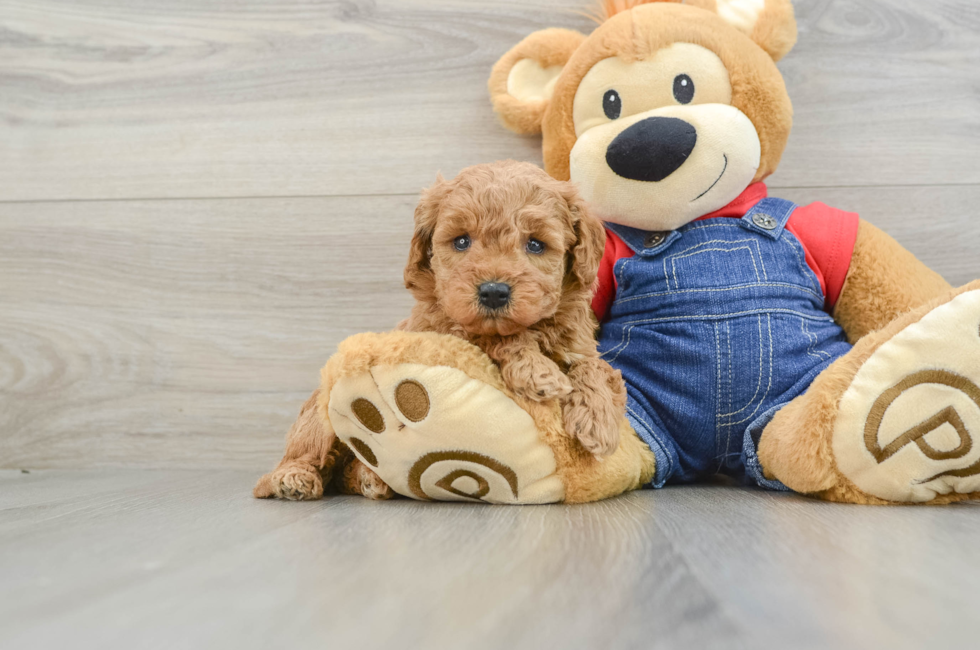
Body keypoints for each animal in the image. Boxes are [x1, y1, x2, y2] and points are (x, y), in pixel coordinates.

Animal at [256, 159, 624, 498]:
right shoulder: (444, 330)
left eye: (535, 244)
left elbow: (597, 368)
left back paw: (370, 479)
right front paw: (538, 373)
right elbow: (491, 338)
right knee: (303, 455)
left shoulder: (580, 343)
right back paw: (294, 478)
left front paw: (598, 421)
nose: (493, 292)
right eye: (461, 241)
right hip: (318, 422)